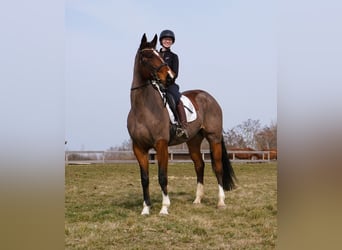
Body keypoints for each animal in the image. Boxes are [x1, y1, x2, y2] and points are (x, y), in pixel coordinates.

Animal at [127, 34, 236, 216]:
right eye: (147, 56)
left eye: (159, 55)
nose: (170, 77)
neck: (144, 108)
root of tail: (209, 97)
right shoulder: (139, 148)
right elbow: (145, 179)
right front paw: (146, 209)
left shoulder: (161, 144)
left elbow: (162, 176)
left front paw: (164, 208)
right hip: (193, 141)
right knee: (199, 165)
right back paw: (197, 200)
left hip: (213, 138)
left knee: (218, 167)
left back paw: (221, 202)